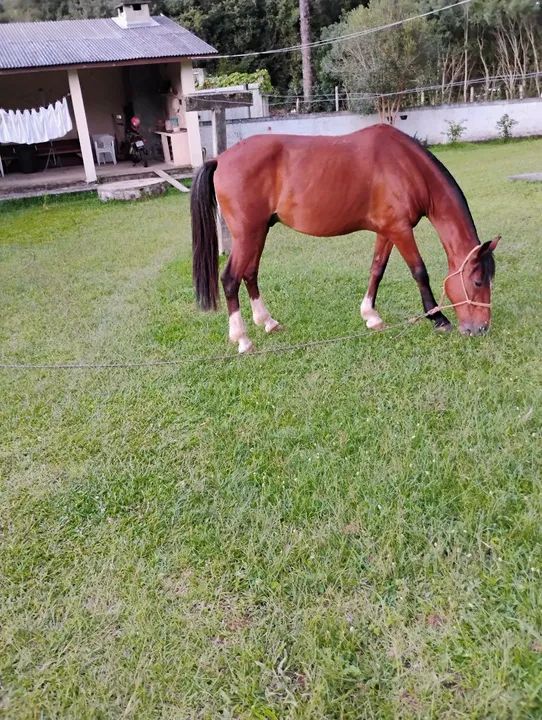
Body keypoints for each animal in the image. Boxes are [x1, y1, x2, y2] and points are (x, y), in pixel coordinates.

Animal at [191, 124, 499, 353]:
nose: (481, 328)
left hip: (259, 231)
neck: (406, 166)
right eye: (477, 281)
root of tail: (220, 159)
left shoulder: (387, 231)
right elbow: (419, 271)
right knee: (230, 279)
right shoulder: (400, 230)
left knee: (250, 273)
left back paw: (267, 322)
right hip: (247, 233)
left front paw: (371, 317)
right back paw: (242, 339)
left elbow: (377, 270)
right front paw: (438, 318)